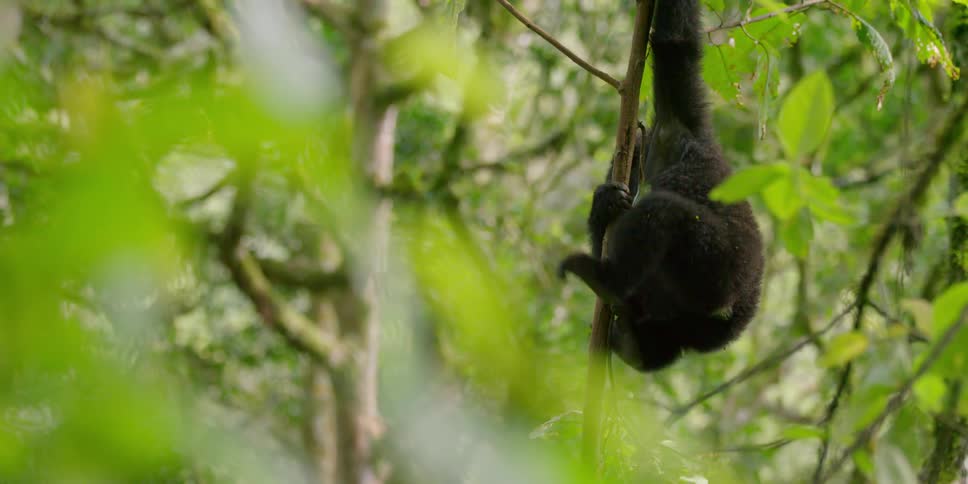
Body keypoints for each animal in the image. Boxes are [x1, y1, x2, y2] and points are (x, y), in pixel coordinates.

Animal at [559, 0, 764, 372]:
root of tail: (732, 313)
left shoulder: (675, 122)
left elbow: (675, 43)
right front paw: (603, 204)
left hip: (718, 269)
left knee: (664, 213)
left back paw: (606, 282)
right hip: (693, 321)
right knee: (658, 347)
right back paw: (627, 336)